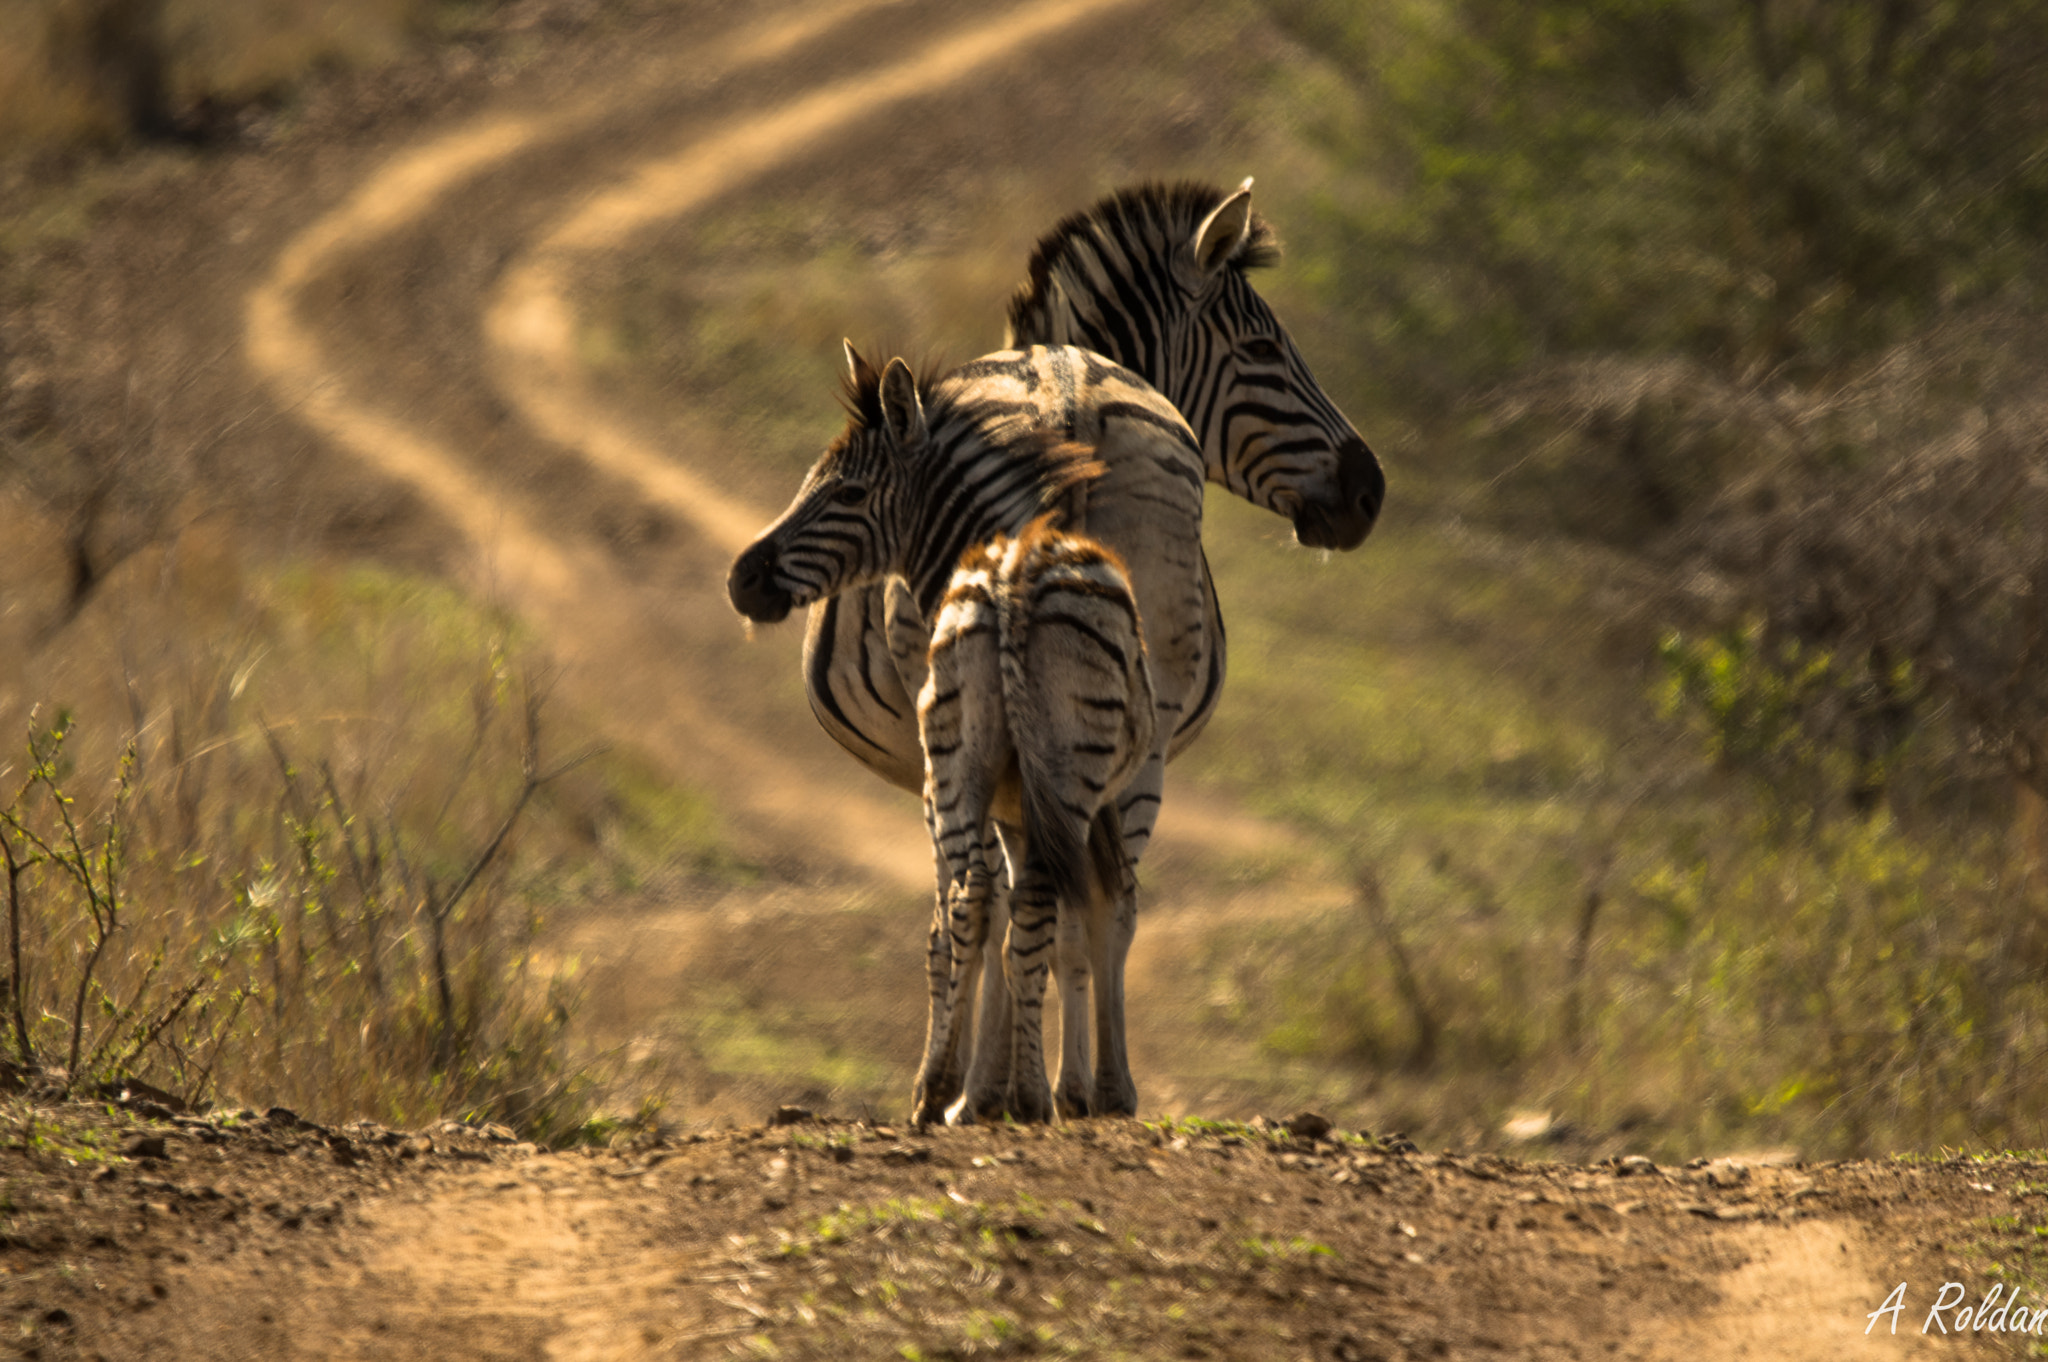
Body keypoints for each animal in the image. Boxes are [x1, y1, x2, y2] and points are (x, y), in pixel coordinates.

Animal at [915, 516, 1155, 1125]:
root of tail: (1015, 571)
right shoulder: (1087, 815)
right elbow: (1107, 912)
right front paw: (1108, 1091)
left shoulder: (1019, 818)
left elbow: (1017, 931)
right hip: (1070, 767)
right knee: (1037, 904)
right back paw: (1025, 1095)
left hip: (958, 757)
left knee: (971, 897)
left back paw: (940, 1088)